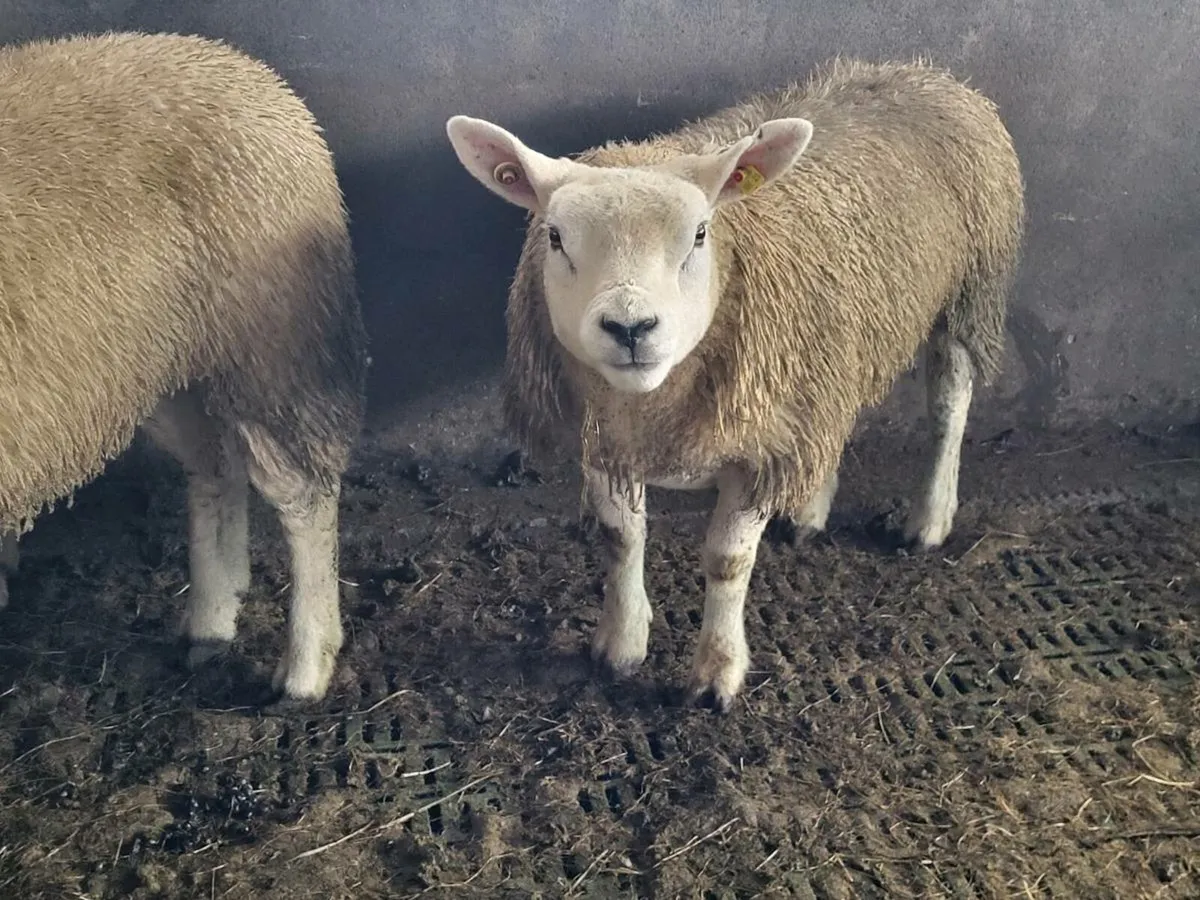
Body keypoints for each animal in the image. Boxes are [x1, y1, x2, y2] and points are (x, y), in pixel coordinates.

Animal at [0, 31, 368, 703]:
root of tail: (248, 70)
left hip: (272, 348)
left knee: (304, 496)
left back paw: (305, 668)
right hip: (174, 366)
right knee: (215, 469)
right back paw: (211, 622)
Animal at [445, 58, 1025, 711]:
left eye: (700, 234)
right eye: (554, 237)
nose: (630, 327)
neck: (651, 405)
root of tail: (917, 71)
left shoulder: (757, 444)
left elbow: (726, 561)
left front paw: (715, 673)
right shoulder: (604, 432)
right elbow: (621, 537)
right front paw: (621, 644)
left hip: (969, 291)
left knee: (949, 409)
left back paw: (928, 521)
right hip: (830, 352)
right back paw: (809, 511)